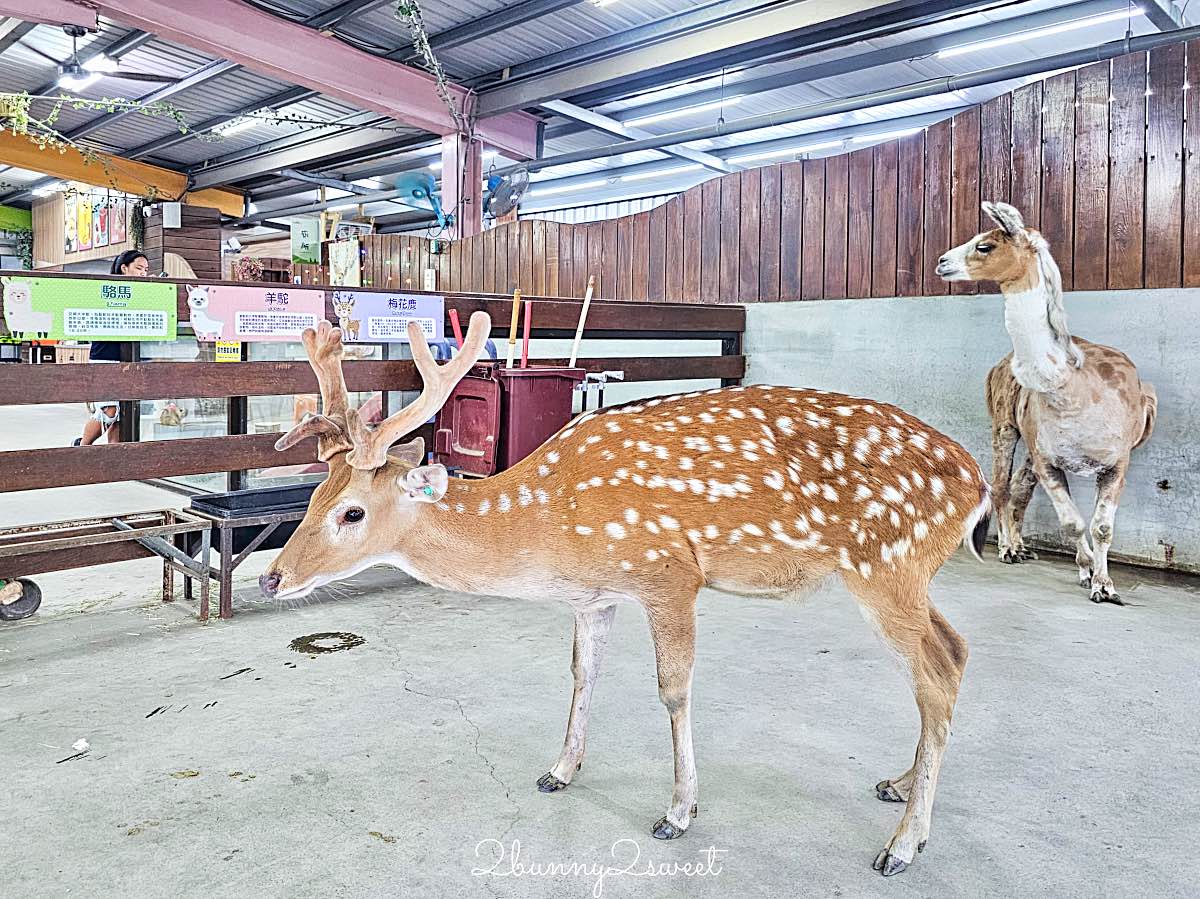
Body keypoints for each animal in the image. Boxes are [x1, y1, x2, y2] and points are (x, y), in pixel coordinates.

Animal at [259, 312, 992, 877]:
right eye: (314, 495)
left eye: (351, 511)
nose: (272, 576)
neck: (552, 521)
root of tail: (979, 484)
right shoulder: (595, 593)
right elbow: (583, 672)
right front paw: (560, 769)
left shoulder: (669, 572)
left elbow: (673, 688)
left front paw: (678, 811)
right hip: (909, 570)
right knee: (955, 651)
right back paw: (899, 785)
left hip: (885, 562)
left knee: (934, 673)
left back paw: (903, 845)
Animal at [937, 202, 1156, 604]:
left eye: (985, 245)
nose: (943, 262)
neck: (1073, 390)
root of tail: (999, 365)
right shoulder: (1049, 460)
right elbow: (1073, 524)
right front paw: (1090, 573)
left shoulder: (1115, 463)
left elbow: (1101, 528)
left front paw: (1103, 584)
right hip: (1005, 425)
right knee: (1002, 485)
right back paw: (1009, 549)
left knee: (1019, 486)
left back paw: (1022, 547)